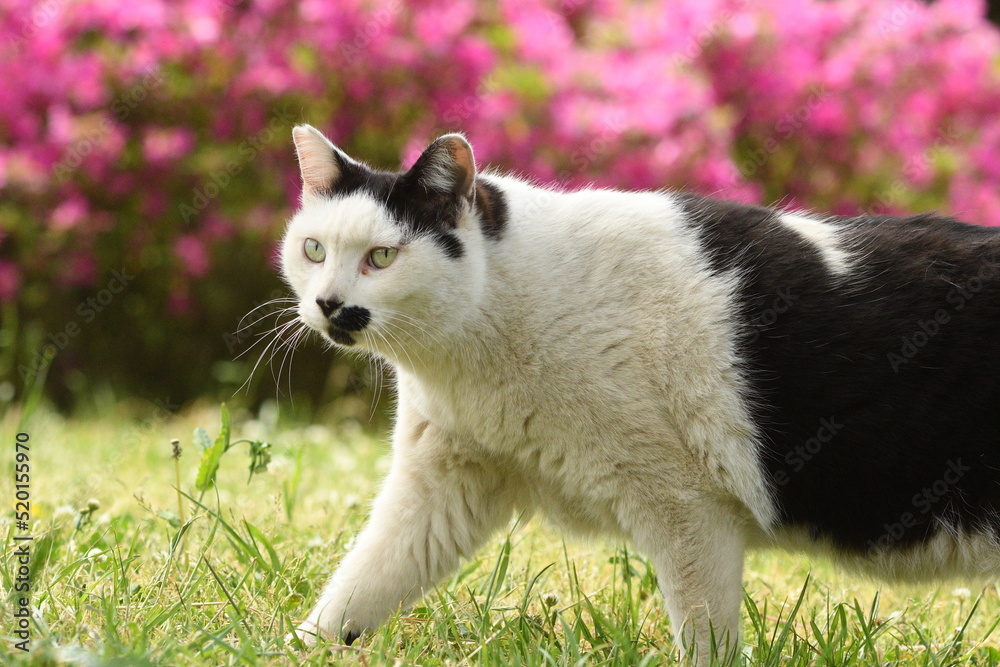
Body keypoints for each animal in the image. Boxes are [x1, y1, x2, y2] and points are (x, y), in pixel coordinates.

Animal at [280, 124, 1000, 664]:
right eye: (313, 249)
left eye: (381, 257)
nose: (329, 304)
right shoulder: (440, 485)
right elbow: (359, 586)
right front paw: (297, 648)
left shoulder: (687, 513)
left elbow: (705, 640)